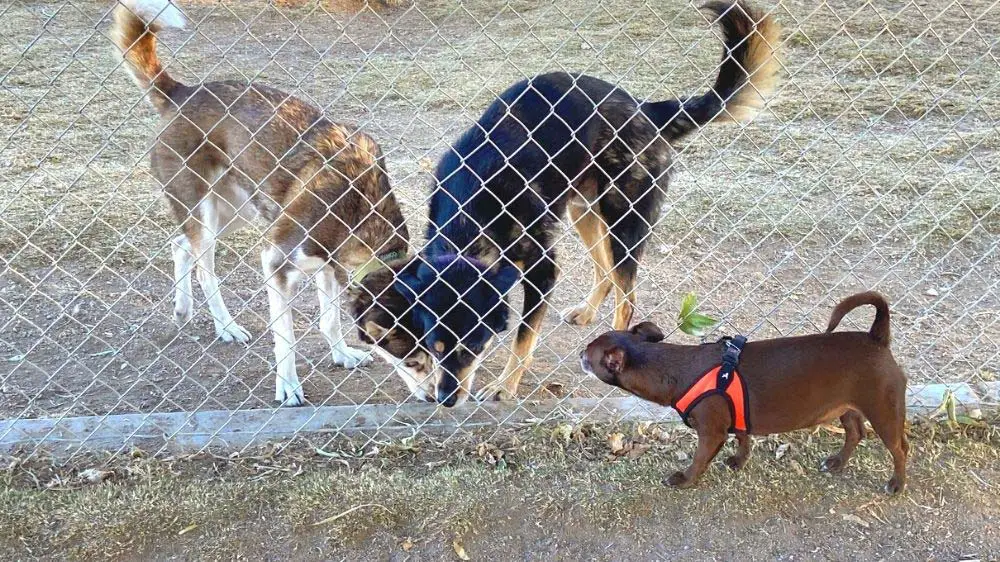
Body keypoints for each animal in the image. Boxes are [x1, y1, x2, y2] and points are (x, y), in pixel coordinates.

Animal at [115, 0, 412, 402]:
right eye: (414, 357)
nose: (445, 399)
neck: (359, 206)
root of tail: (182, 93)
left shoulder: (330, 266)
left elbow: (330, 320)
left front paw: (342, 355)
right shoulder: (276, 263)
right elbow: (285, 338)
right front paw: (288, 386)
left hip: (235, 211)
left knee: (180, 245)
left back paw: (182, 308)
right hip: (206, 213)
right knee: (204, 268)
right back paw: (226, 326)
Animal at [352, 0, 780, 402]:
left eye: (472, 345)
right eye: (434, 346)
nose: (445, 400)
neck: (470, 213)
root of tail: (643, 107)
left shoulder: (544, 269)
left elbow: (523, 338)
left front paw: (506, 386)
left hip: (625, 219)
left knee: (626, 296)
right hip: (584, 211)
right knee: (605, 272)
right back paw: (588, 311)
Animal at [584, 290, 912, 492]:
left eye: (588, 355)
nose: (578, 355)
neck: (673, 367)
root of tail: (876, 339)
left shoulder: (711, 432)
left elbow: (699, 460)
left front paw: (685, 480)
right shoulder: (737, 416)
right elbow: (743, 439)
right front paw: (739, 462)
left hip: (884, 412)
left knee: (900, 448)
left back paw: (896, 484)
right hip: (847, 407)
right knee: (856, 432)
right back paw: (837, 462)